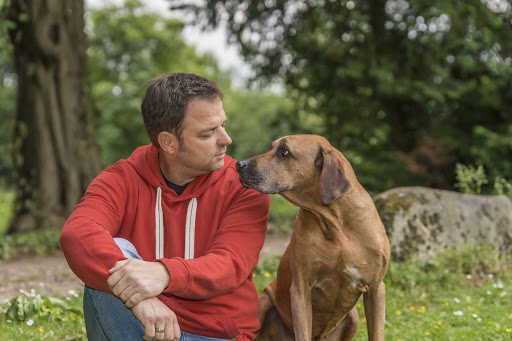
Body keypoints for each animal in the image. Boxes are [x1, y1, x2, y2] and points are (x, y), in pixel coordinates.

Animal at [238, 135, 390, 340]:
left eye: (284, 151)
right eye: (272, 147)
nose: (239, 164)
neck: (336, 229)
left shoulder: (376, 288)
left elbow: (377, 333)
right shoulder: (301, 290)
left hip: (354, 316)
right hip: (263, 301)